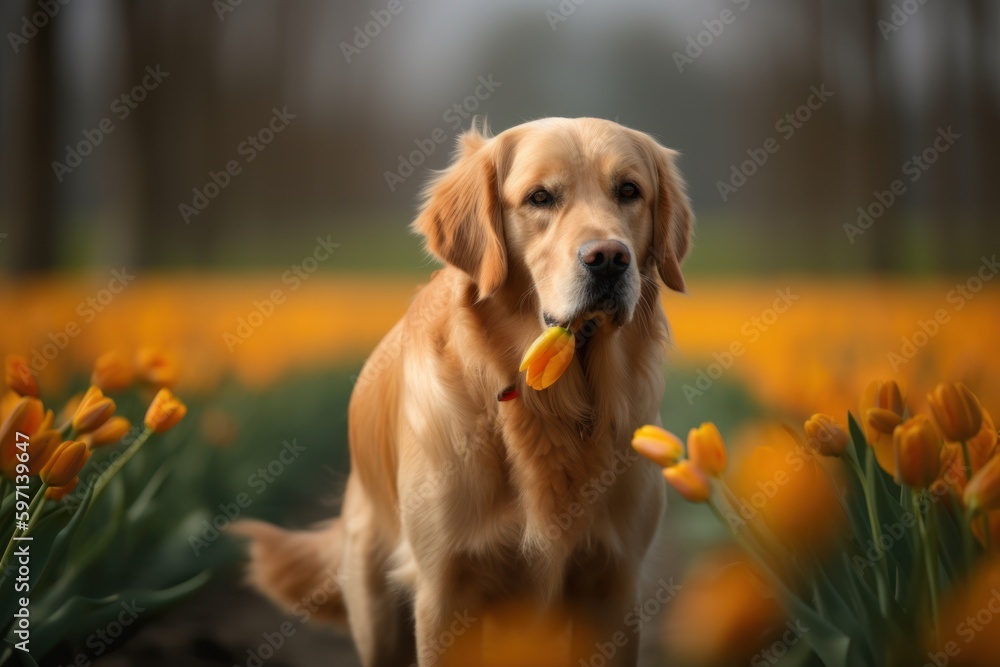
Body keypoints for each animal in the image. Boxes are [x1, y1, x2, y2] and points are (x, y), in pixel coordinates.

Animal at [236, 117, 688, 664]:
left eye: (629, 191)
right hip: (377, 604)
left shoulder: (613, 586)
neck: (548, 403)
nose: (608, 258)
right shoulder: (444, 590)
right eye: (540, 198)